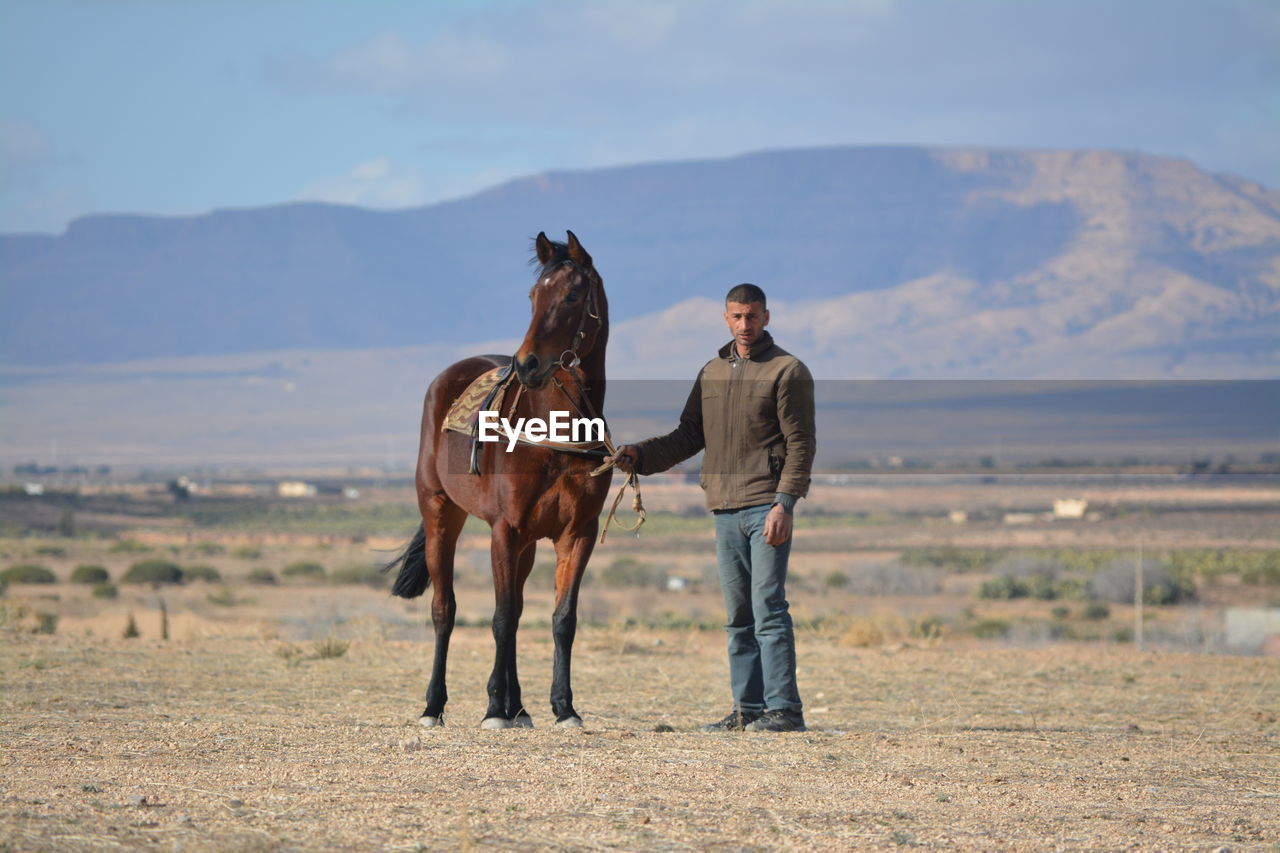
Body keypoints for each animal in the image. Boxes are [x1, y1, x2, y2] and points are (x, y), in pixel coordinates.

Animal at [381, 229, 611, 727]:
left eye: (572, 295)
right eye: (532, 295)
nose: (528, 364)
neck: (554, 433)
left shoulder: (576, 533)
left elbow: (561, 618)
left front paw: (563, 708)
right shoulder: (504, 530)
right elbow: (500, 619)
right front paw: (492, 711)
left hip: (526, 543)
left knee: (518, 610)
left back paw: (518, 705)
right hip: (441, 513)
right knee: (444, 609)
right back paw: (435, 706)